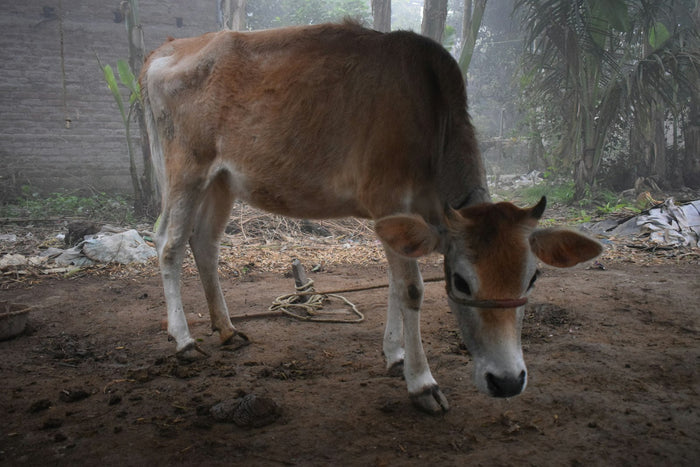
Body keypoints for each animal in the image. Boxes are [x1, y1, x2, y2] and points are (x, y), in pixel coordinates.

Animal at [140, 21, 602, 414]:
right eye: (460, 281)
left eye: (532, 278)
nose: (507, 381)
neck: (431, 115)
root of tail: (168, 48)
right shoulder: (388, 199)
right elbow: (411, 289)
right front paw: (422, 383)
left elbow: (395, 286)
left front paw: (395, 355)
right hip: (185, 170)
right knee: (168, 244)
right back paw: (184, 340)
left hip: (221, 181)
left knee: (204, 244)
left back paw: (227, 329)